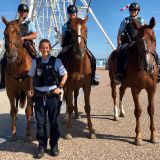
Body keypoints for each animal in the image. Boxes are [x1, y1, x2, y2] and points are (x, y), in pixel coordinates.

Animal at [108, 17, 158, 145]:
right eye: (138, 41)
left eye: (154, 39)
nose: (148, 66)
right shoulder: (135, 89)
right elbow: (138, 111)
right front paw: (138, 136)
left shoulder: (152, 89)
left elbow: (151, 110)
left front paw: (153, 135)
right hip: (113, 81)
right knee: (115, 95)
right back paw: (116, 114)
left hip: (125, 84)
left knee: (121, 92)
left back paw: (121, 112)